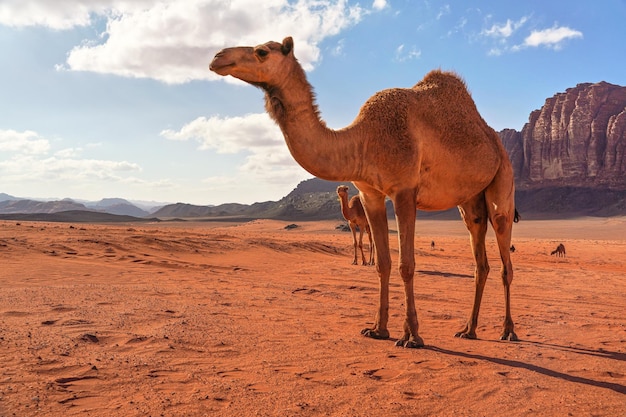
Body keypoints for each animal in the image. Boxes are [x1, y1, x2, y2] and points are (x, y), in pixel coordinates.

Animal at [210, 36, 516, 348]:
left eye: (261, 51)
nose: (218, 57)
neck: (364, 140)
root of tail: (493, 139)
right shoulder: (371, 195)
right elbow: (383, 263)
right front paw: (378, 329)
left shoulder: (404, 191)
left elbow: (406, 264)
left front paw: (411, 335)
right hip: (470, 201)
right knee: (480, 261)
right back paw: (469, 329)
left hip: (503, 180)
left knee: (504, 255)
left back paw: (508, 331)